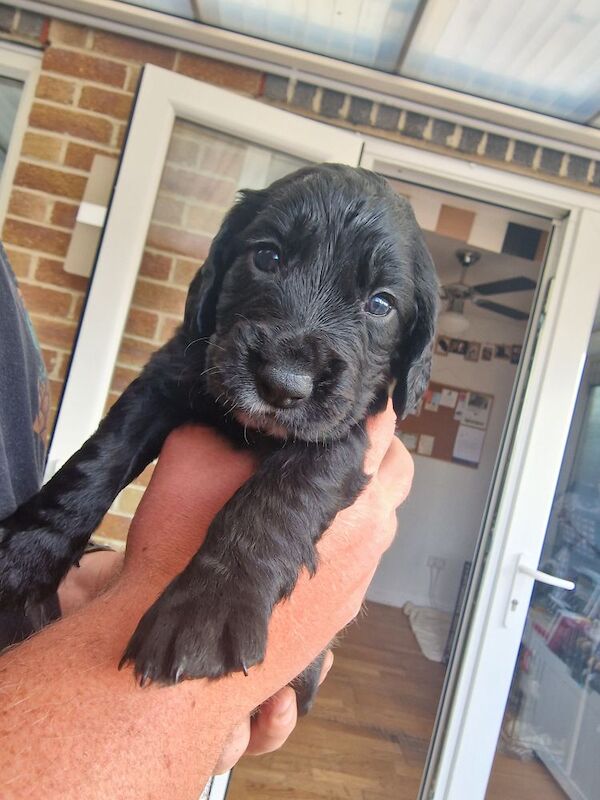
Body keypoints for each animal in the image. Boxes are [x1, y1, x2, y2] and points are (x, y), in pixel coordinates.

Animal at [0, 162, 436, 708]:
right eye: (267, 256)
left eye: (380, 303)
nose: (283, 384)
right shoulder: (167, 376)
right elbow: (96, 462)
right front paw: (22, 558)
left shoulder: (341, 433)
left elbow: (275, 501)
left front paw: (208, 608)